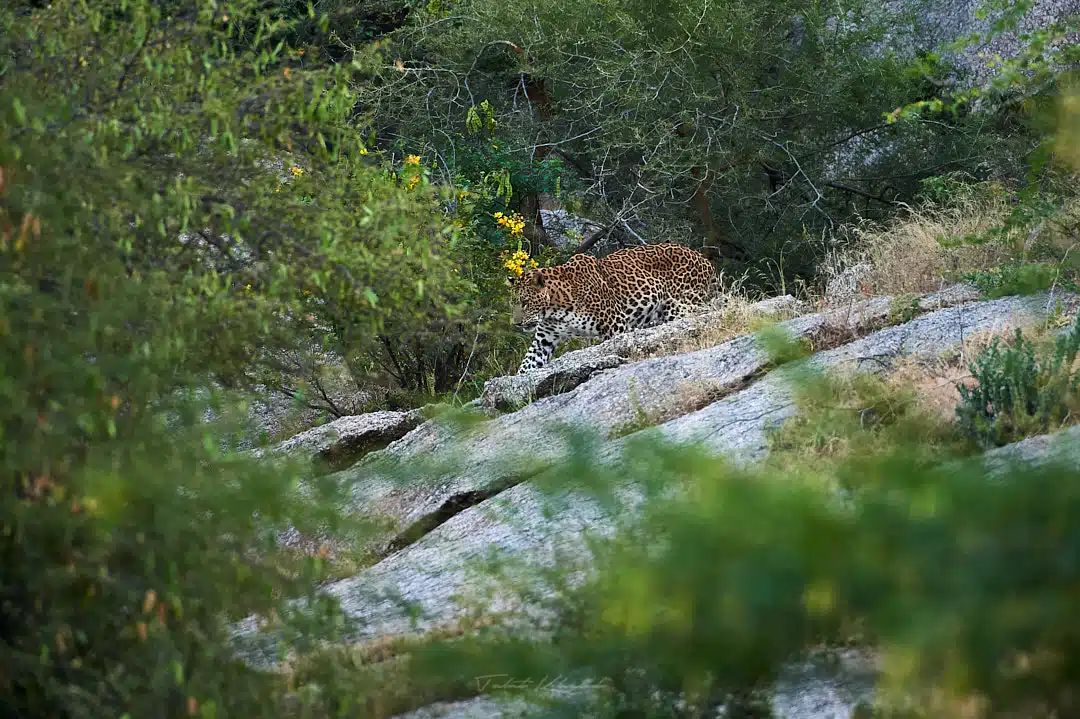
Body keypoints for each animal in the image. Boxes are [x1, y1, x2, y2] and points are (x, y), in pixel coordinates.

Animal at [510, 243, 721, 374]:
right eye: (514, 304)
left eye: (525, 302)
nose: (516, 323)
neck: (555, 309)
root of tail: (704, 259)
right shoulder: (543, 340)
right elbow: (527, 365)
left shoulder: (613, 326)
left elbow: (614, 349)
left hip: (679, 307)